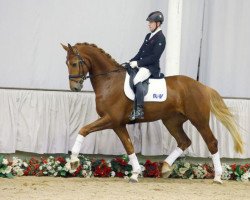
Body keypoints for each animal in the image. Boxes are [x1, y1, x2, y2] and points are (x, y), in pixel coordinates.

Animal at [61, 43, 243, 184]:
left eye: (75, 63)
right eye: (66, 63)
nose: (74, 87)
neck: (109, 81)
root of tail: (203, 86)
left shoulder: (111, 119)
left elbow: (83, 130)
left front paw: (73, 162)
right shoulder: (117, 124)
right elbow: (129, 146)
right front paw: (135, 174)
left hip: (199, 120)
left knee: (211, 142)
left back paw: (218, 177)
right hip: (171, 121)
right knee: (184, 141)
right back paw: (165, 167)